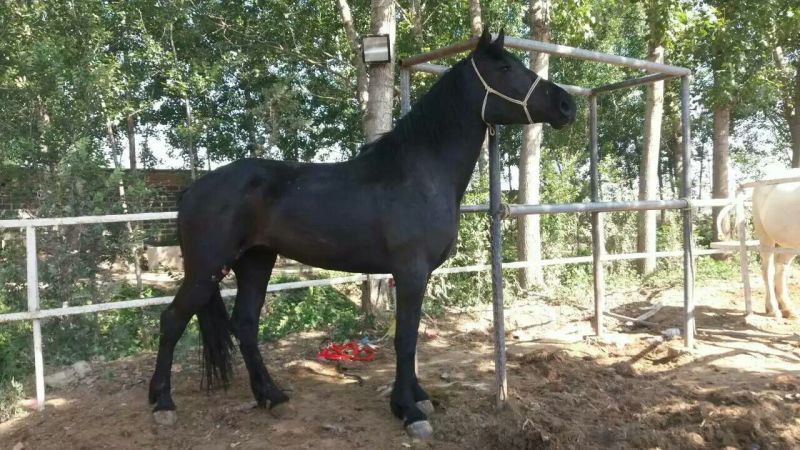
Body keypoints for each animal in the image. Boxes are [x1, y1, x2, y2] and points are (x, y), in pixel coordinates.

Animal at [147, 28, 576, 439]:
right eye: (504, 68)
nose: (566, 105)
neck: (420, 173)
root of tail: (193, 189)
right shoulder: (410, 272)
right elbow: (405, 339)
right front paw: (408, 411)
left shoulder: (415, 275)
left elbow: (412, 336)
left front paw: (419, 397)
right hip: (206, 269)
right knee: (172, 321)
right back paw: (163, 403)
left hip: (255, 262)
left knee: (246, 325)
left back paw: (271, 396)